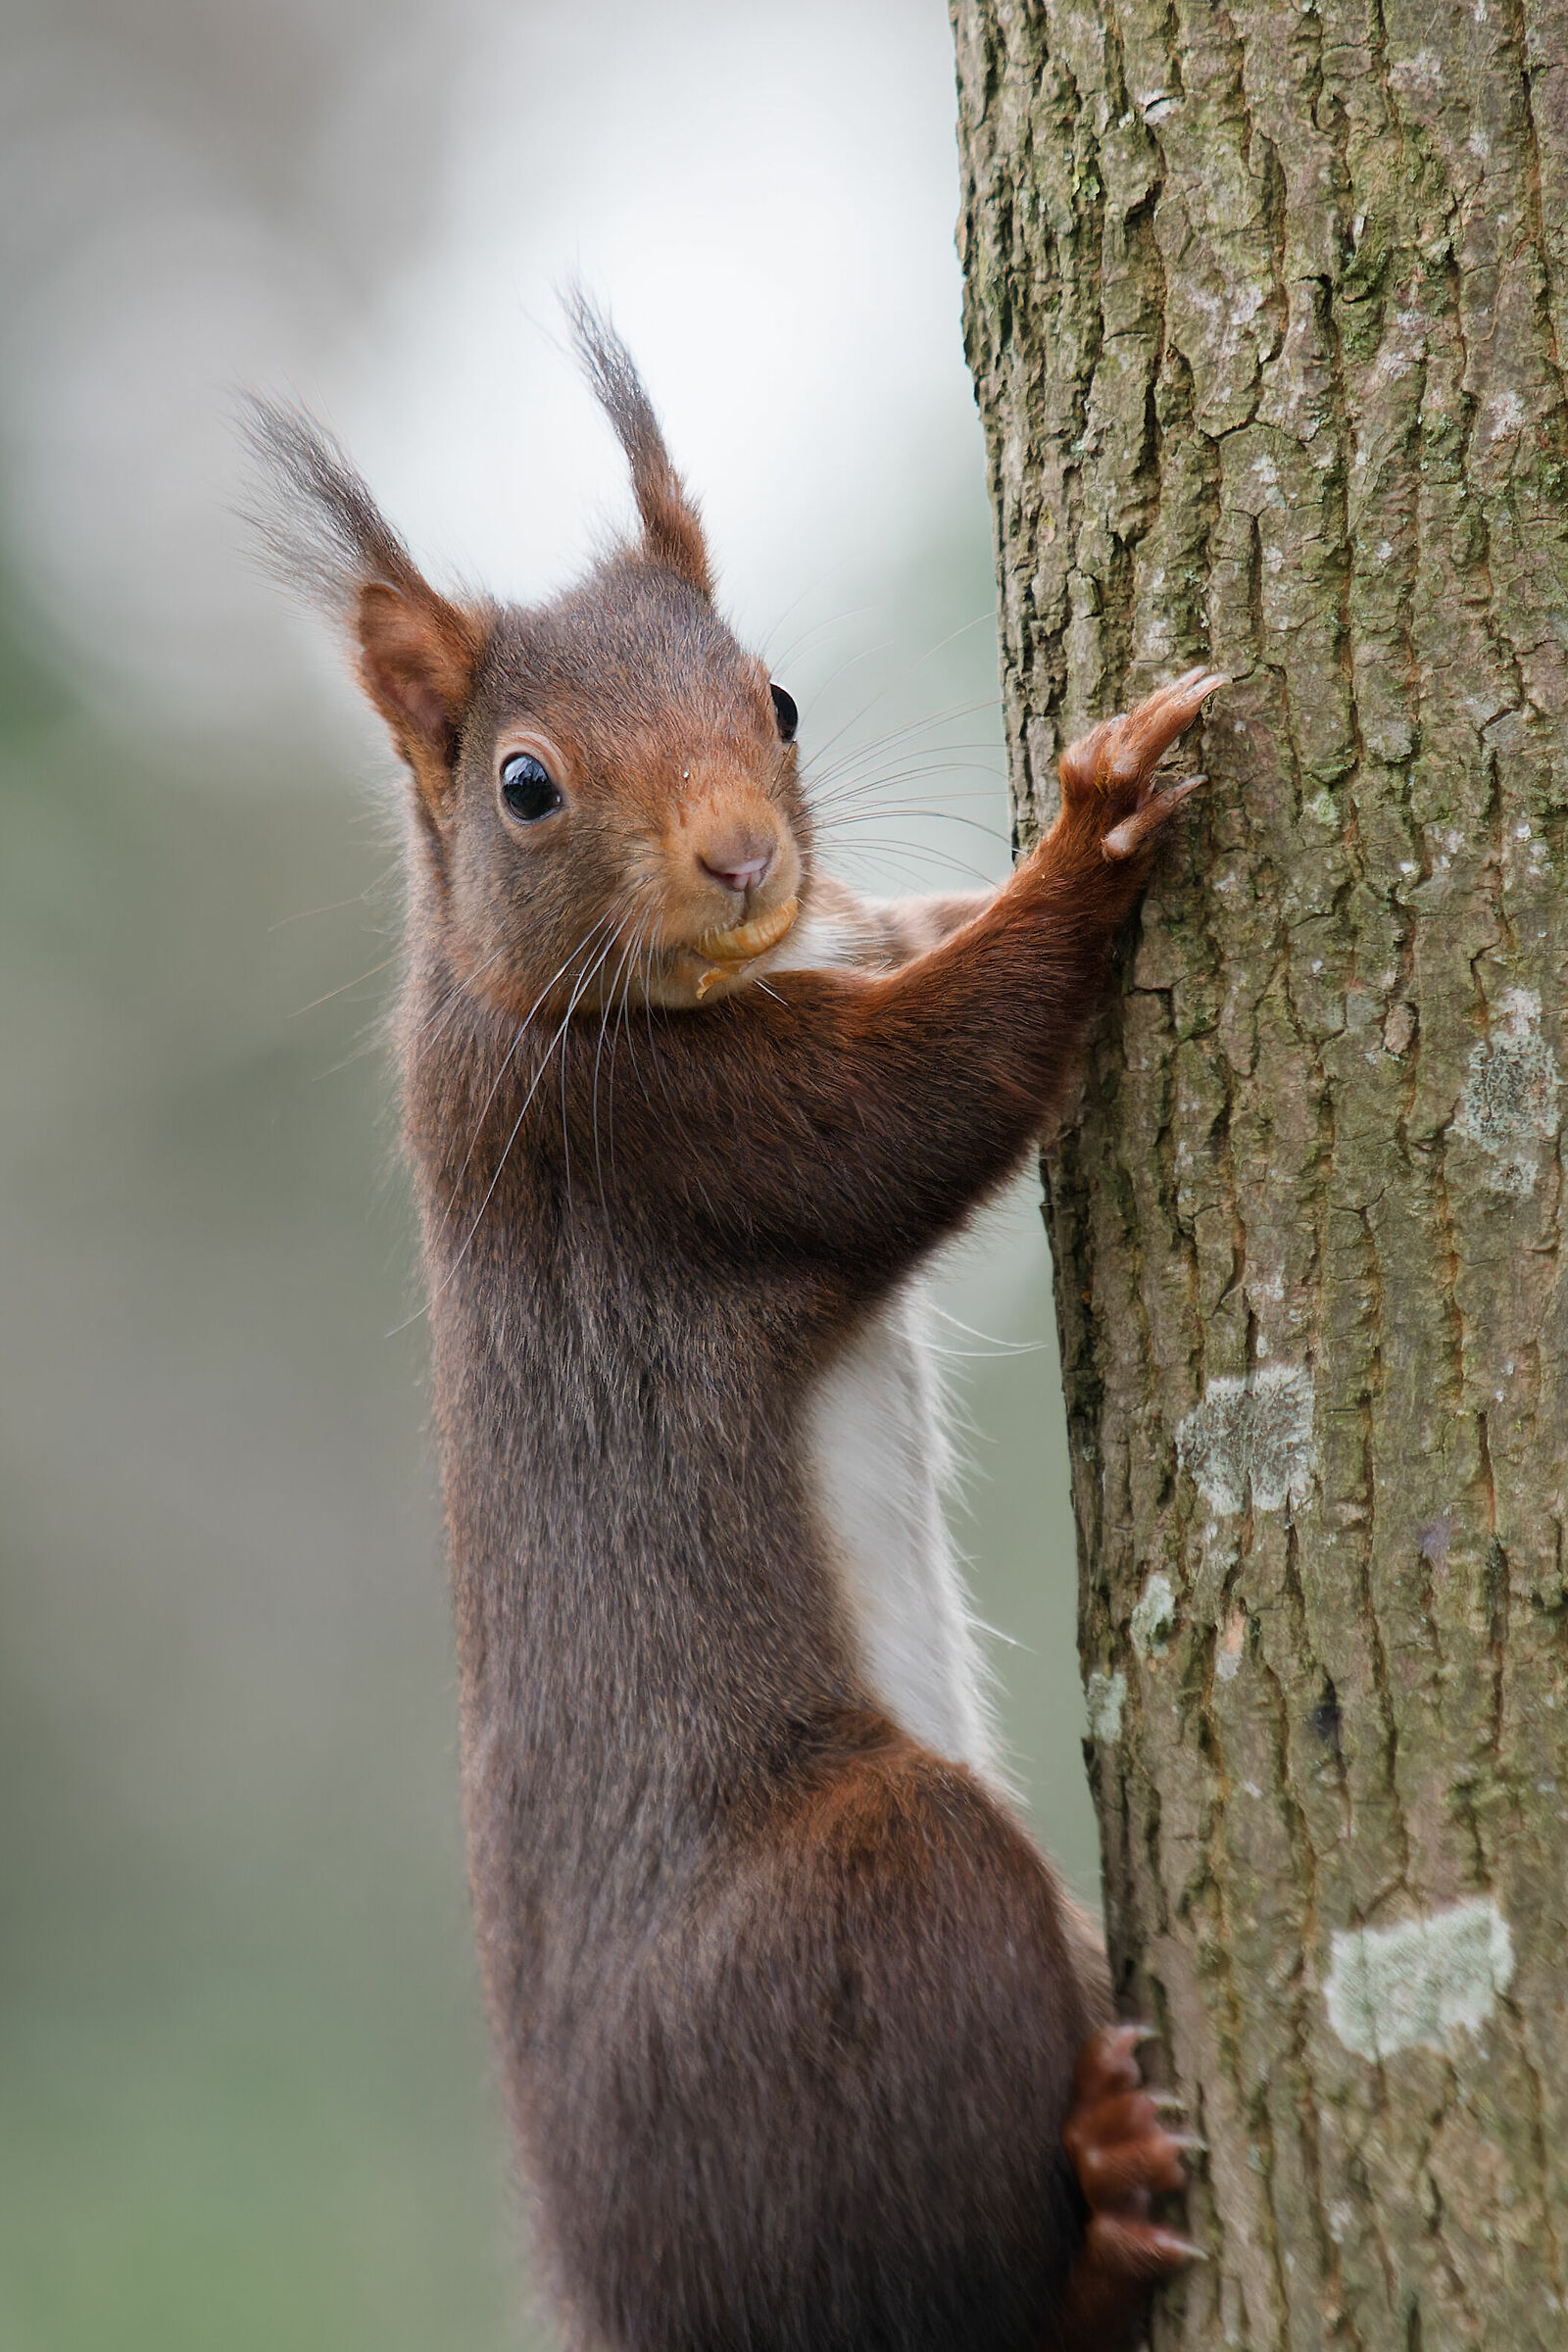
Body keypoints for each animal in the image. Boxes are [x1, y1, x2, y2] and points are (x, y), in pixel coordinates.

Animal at [248, 298, 1222, 2352]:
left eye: (772, 698)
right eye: (523, 784)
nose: (743, 865)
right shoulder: (634, 1143)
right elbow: (925, 1098)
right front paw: (1097, 829)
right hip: (879, 1894)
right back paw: (1101, 2224)